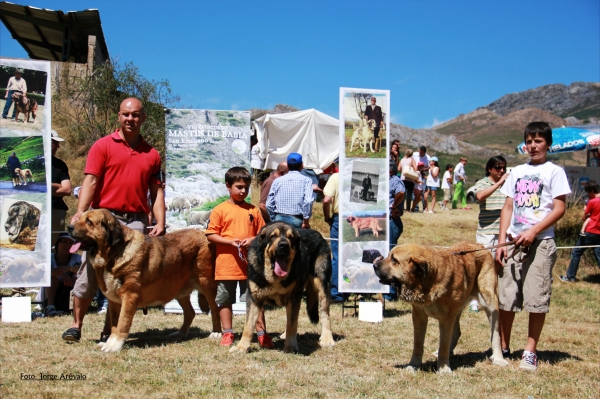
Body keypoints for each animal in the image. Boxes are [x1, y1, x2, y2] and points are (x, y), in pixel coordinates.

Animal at [68, 209, 221, 354]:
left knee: (215, 309)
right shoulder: (113, 301)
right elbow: (114, 324)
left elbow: (122, 322)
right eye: (80, 218)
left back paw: (216, 333)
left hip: (207, 284)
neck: (113, 255)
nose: (69, 227)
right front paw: (109, 342)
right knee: (190, 312)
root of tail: (204, 234)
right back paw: (180, 333)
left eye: (89, 221)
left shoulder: (129, 296)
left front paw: (114, 347)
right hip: (179, 290)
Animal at [230, 223, 336, 354]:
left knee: (325, 313)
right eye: (273, 236)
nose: (284, 245)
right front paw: (241, 347)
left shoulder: (294, 297)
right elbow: (248, 326)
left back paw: (327, 339)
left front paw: (290, 346)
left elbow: (292, 324)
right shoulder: (254, 298)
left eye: (290, 237)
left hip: (321, 285)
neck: (274, 278)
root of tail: (320, 236)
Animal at [376, 244, 506, 376]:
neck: (428, 281)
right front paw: (413, 365)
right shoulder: (418, 315)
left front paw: (443, 369)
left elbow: (443, 344)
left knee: (495, 334)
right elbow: (418, 343)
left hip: (490, 302)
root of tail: (480, 246)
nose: (375, 265)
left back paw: (498, 358)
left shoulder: (446, 318)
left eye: (394, 260)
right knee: (457, 332)